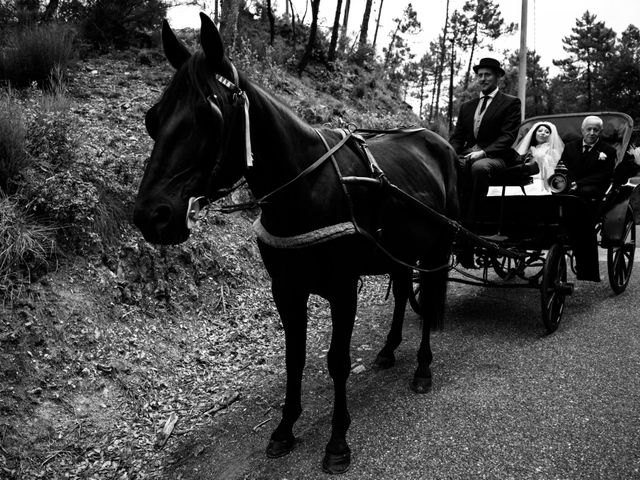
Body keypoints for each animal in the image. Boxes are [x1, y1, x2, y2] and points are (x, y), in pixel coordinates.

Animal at [132, 13, 458, 474]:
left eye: (208, 113)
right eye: (153, 118)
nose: (151, 215)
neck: (306, 185)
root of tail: (438, 142)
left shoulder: (342, 290)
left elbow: (337, 361)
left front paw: (337, 441)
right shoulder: (286, 290)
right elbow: (295, 359)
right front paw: (285, 428)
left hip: (435, 248)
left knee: (428, 301)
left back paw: (423, 369)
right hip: (399, 250)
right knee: (400, 293)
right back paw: (389, 349)